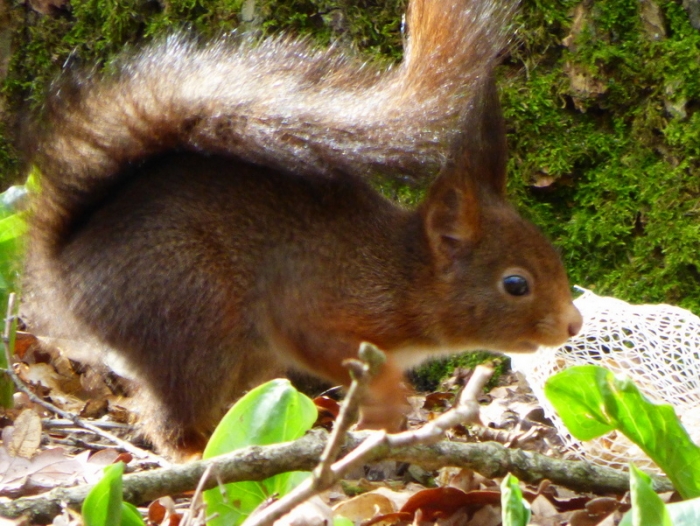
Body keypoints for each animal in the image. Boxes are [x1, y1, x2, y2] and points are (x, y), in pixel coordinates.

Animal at [23, 0, 583, 458]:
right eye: (516, 285)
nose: (573, 324)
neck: (402, 275)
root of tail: (67, 271)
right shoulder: (313, 306)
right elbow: (317, 342)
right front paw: (387, 400)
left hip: (244, 357)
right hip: (190, 311)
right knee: (172, 416)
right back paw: (199, 456)